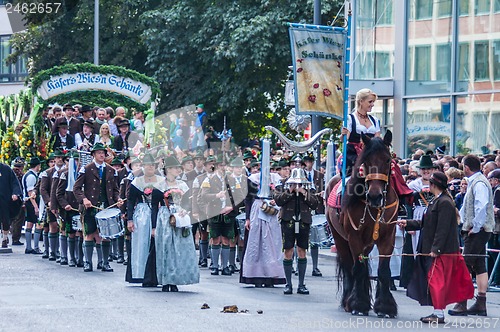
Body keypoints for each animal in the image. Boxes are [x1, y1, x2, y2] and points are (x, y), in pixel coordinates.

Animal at [326, 129, 400, 316]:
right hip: (340, 238)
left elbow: (383, 271)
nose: (375, 196)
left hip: (368, 243)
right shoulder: (354, 237)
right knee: (348, 267)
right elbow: (357, 269)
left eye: (387, 159)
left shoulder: (388, 238)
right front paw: (358, 304)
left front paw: (385, 307)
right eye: (366, 161)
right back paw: (347, 301)